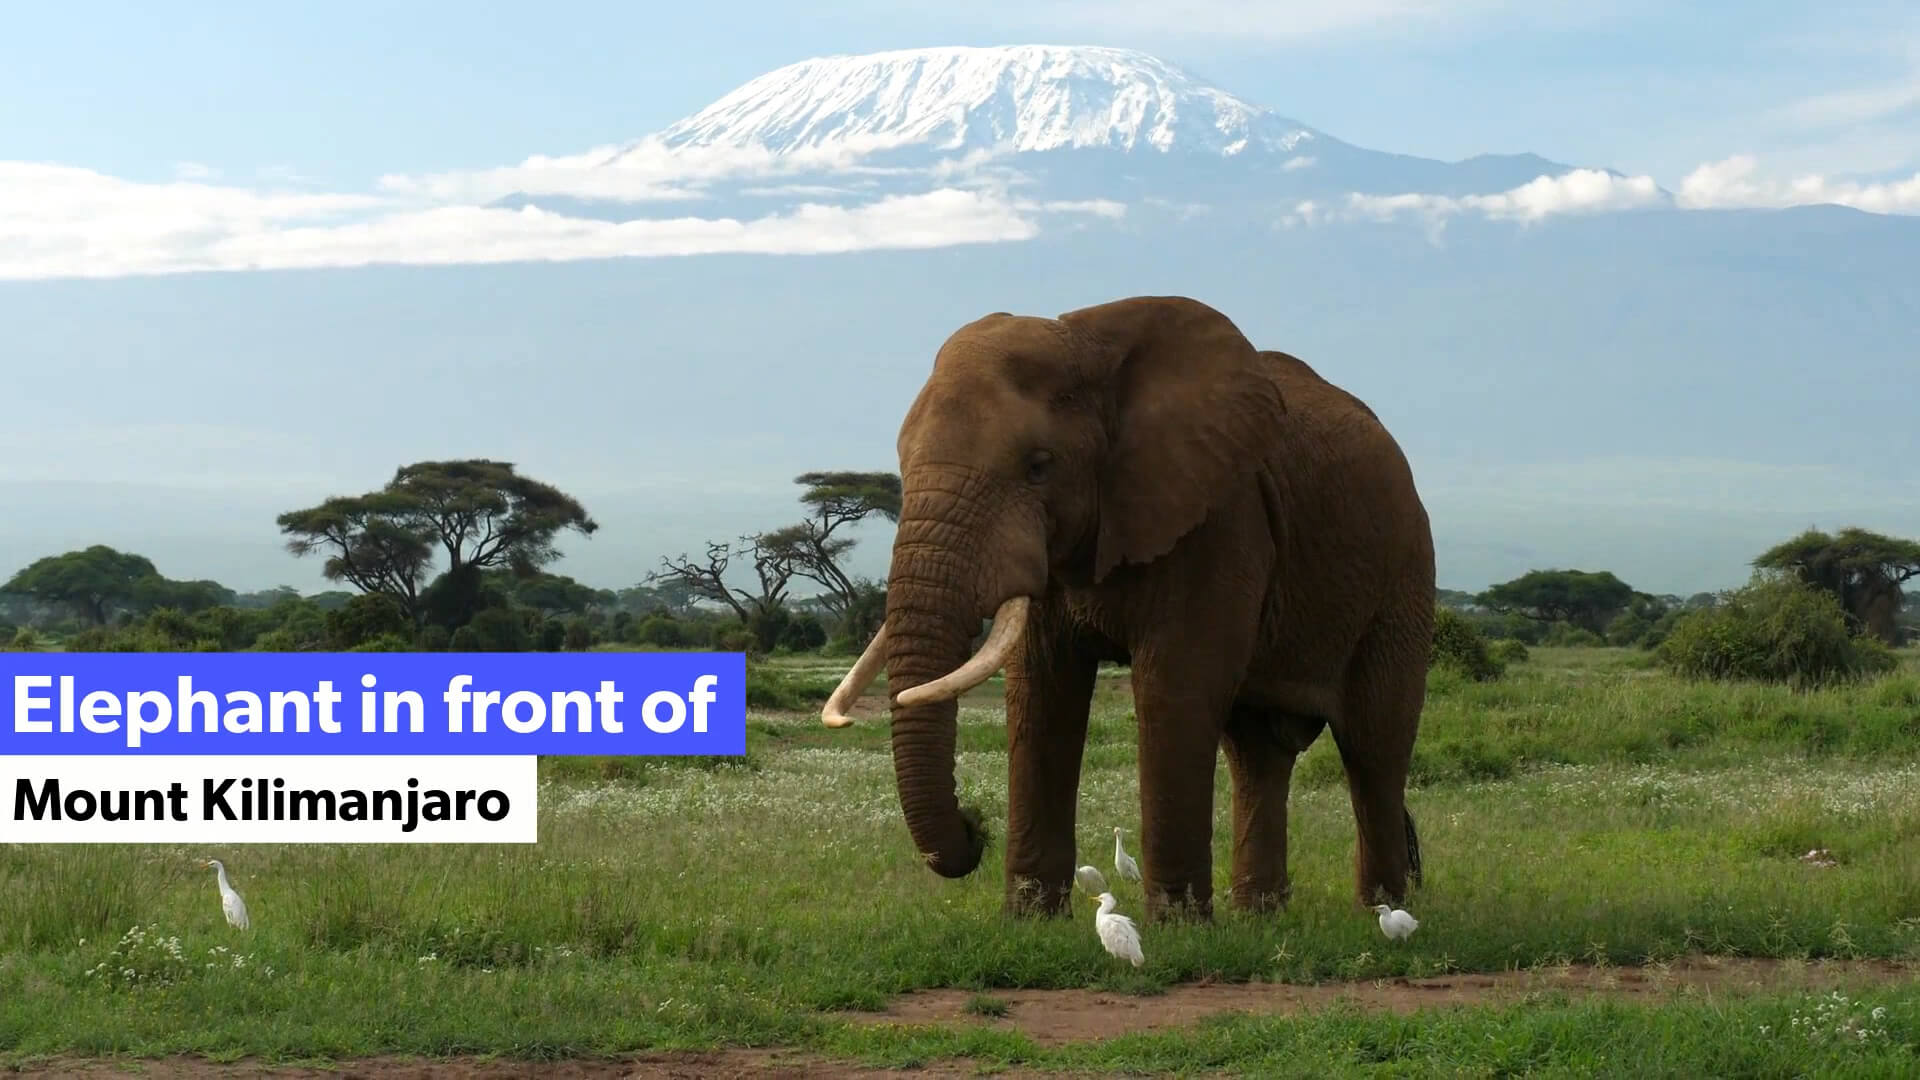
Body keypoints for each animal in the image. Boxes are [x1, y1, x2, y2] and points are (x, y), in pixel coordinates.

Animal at [817, 294, 1436, 914]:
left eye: (1038, 465)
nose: (976, 824)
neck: (1091, 345)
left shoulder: (1219, 516)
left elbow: (1173, 687)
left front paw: (1178, 928)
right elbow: (1042, 691)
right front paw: (1031, 922)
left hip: (1403, 576)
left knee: (1374, 746)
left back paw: (1383, 912)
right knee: (1257, 750)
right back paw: (1260, 917)